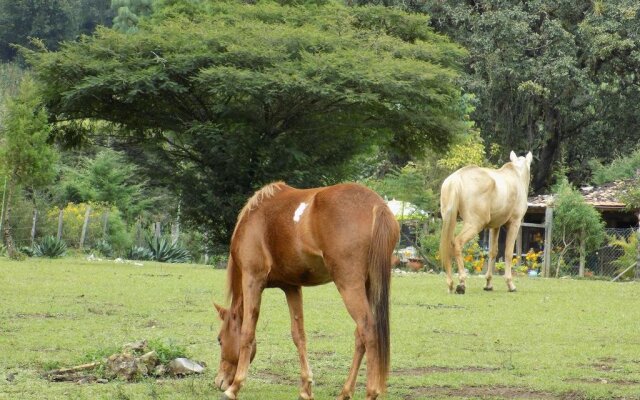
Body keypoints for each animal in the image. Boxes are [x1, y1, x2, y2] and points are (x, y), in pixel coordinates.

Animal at [212, 182, 398, 400]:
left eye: (219, 340)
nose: (220, 381)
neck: (255, 217)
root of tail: (378, 205)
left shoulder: (252, 279)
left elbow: (247, 332)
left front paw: (234, 388)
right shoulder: (291, 287)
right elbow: (298, 335)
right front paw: (305, 388)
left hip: (349, 284)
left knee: (368, 330)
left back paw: (371, 391)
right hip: (368, 285)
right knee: (360, 335)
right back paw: (345, 392)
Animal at [440, 152, 536, 292]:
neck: (516, 175)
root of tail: (456, 179)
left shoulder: (495, 227)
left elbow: (493, 252)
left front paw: (488, 283)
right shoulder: (515, 223)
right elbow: (508, 252)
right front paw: (510, 284)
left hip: (450, 222)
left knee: (448, 245)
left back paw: (450, 283)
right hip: (474, 225)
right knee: (457, 243)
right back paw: (462, 282)